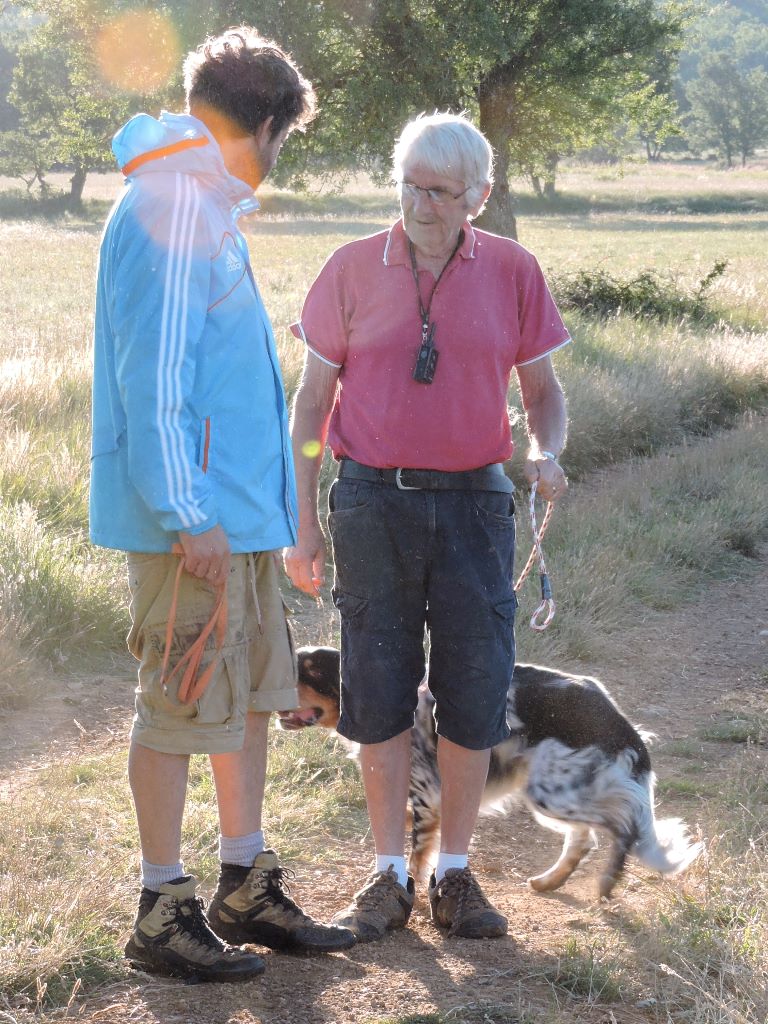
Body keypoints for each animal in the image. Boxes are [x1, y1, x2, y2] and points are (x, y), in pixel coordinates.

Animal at [280, 647, 704, 897]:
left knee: (623, 826)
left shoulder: (428, 797)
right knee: (584, 838)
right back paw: (551, 880)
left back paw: (607, 881)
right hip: (558, 791)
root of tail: (619, 722)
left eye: (310, 670)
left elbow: (417, 854)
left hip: (550, 793)